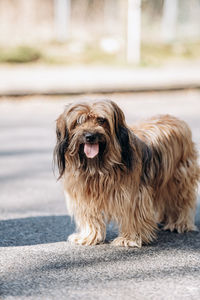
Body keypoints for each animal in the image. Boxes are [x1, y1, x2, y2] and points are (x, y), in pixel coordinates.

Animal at [54, 99, 199, 247]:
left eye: (101, 120)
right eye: (78, 121)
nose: (90, 136)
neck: (98, 167)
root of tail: (176, 119)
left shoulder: (132, 194)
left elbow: (132, 214)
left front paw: (129, 239)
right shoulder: (84, 194)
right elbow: (89, 216)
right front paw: (88, 236)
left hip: (179, 178)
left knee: (182, 201)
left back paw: (179, 223)